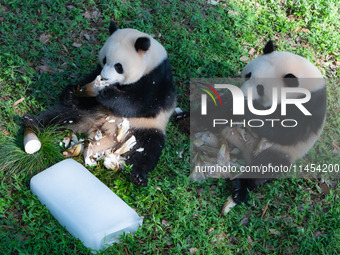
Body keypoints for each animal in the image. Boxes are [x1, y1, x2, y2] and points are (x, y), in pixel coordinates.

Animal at [23, 20, 178, 186]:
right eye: (104, 60)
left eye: (118, 66)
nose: (104, 77)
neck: (151, 62)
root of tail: (103, 133)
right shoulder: (98, 72)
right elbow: (88, 81)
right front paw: (70, 92)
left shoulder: (157, 81)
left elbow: (140, 104)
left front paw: (107, 94)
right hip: (89, 112)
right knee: (61, 115)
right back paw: (32, 121)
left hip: (143, 128)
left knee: (149, 148)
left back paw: (139, 176)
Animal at [223, 41, 326, 205]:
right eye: (248, 75)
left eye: (260, 88)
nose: (242, 95)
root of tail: (247, 150)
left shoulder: (312, 105)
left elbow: (285, 131)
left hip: (281, 151)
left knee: (266, 167)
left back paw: (240, 189)